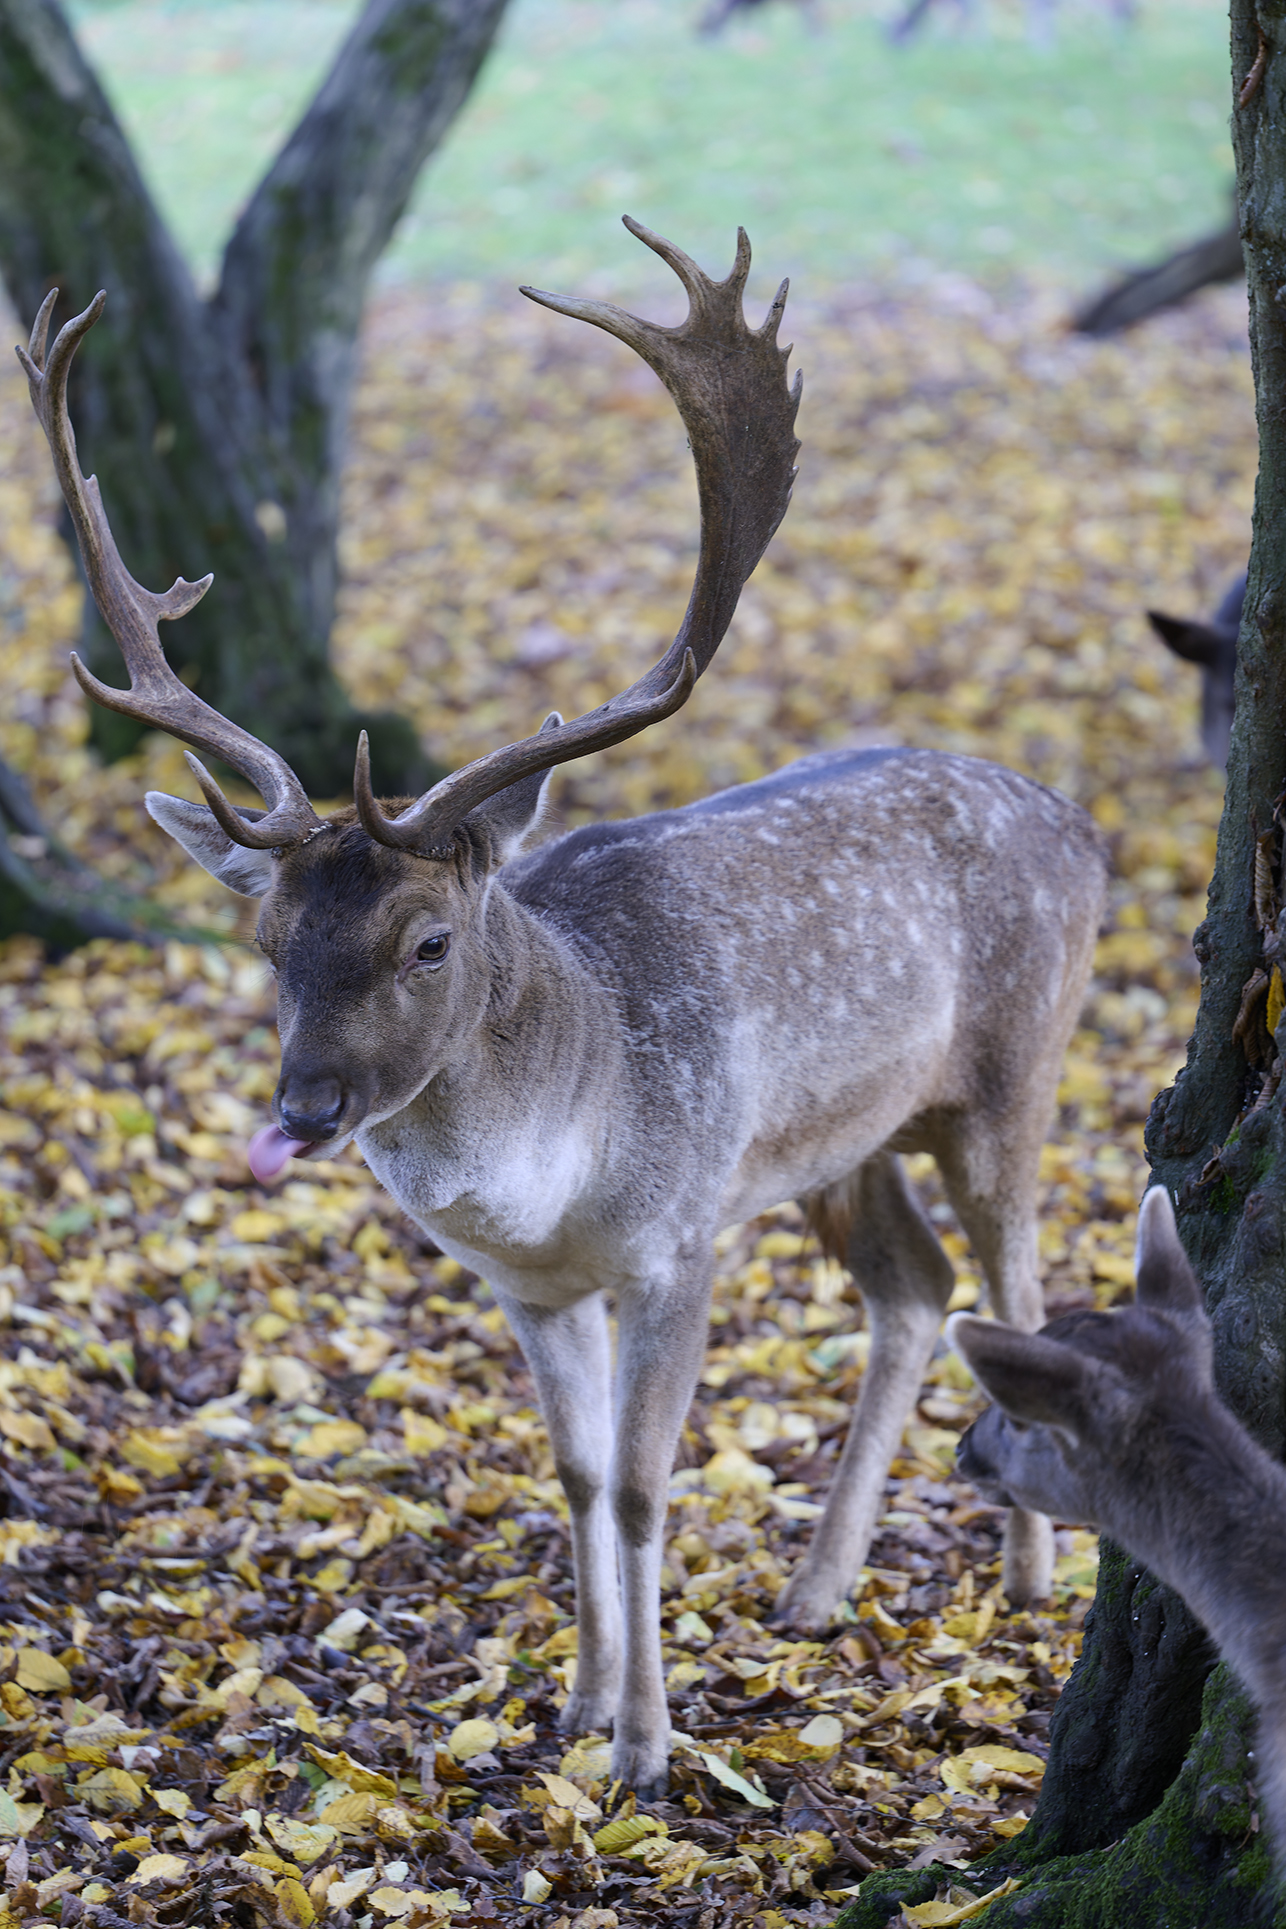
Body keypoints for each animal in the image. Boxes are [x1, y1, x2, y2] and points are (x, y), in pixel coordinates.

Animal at [18, 221, 1108, 1795]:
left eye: (426, 940)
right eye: (269, 936)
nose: (303, 1107)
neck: (556, 1175)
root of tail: (1085, 829)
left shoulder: (677, 1238)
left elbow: (649, 1486)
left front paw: (650, 1750)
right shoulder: (531, 1288)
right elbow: (578, 1474)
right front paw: (578, 1708)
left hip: (1011, 1072)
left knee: (1018, 1285)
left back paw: (1027, 1581)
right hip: (838, 1145)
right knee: (913, 1289)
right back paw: (815, 1590)